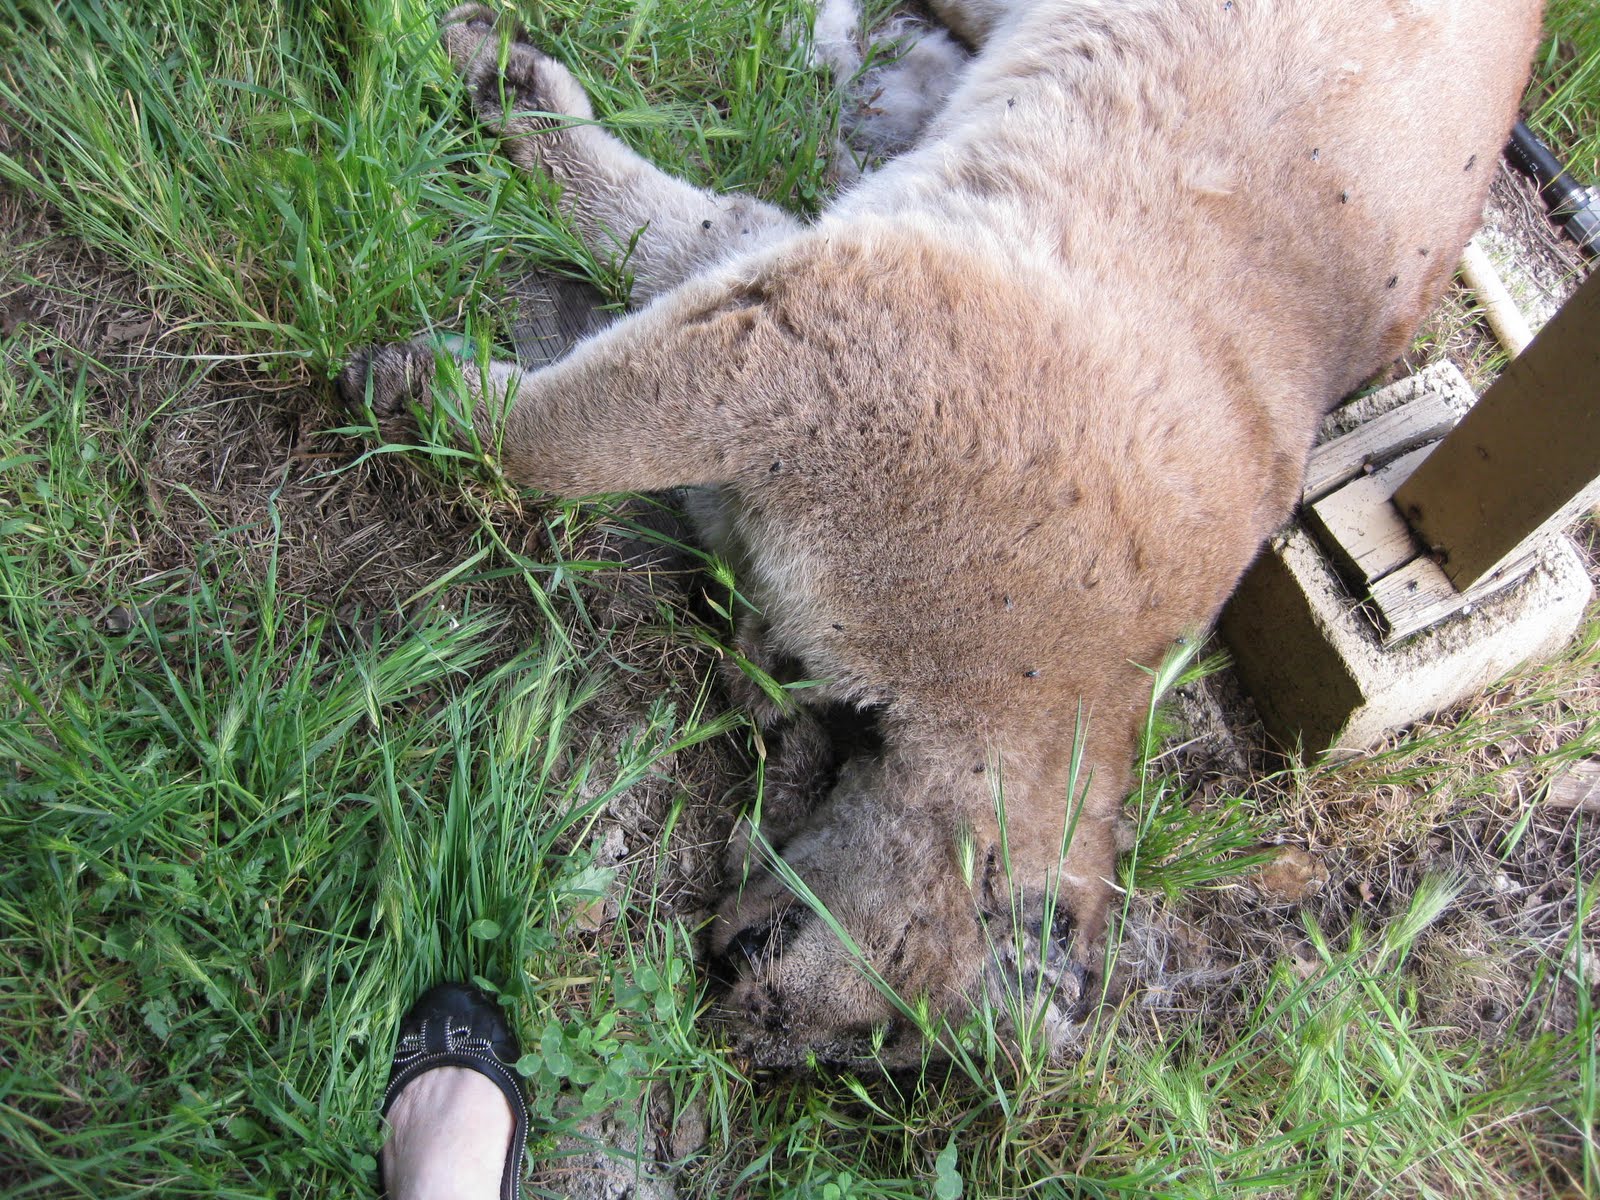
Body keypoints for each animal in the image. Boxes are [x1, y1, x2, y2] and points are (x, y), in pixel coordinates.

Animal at [341, 0, 1544, 1066]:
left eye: (866, 1059)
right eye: (884, 1032)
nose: (743, 1027)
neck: (1034, 711)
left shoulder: (792, 309)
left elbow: (675, 243)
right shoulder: (835, 334)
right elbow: (555, 437)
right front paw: (421, 389)